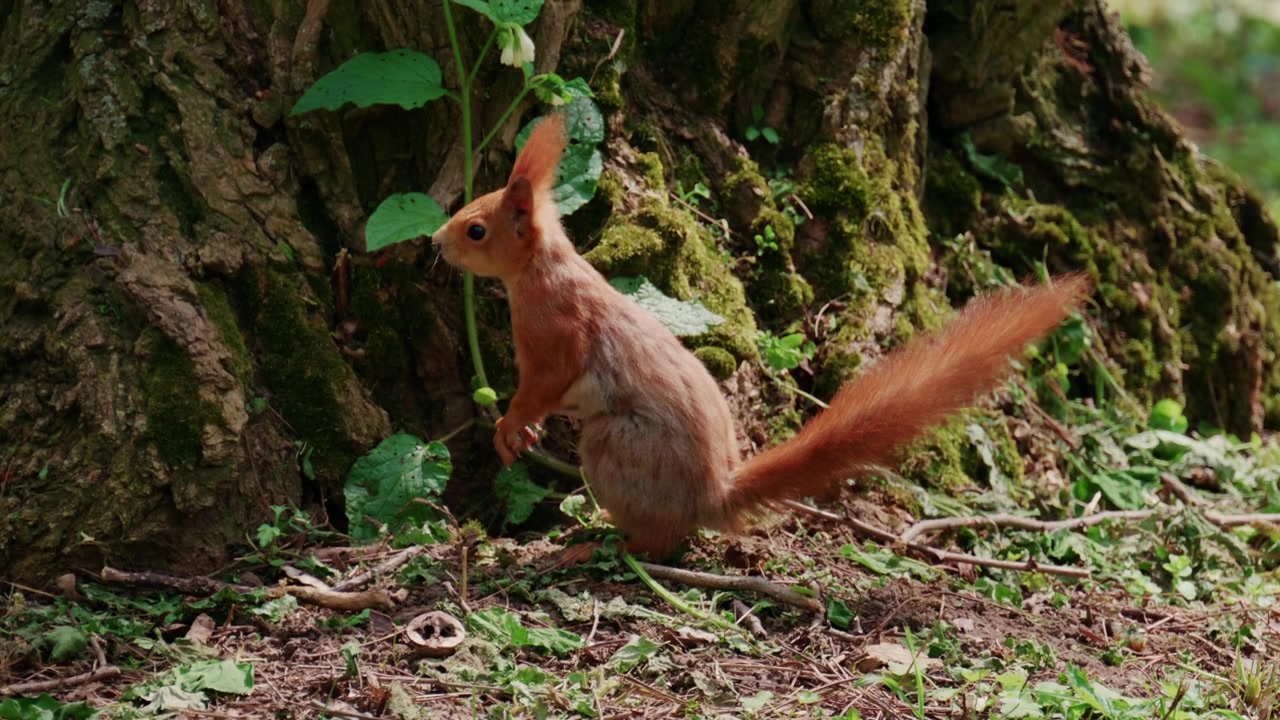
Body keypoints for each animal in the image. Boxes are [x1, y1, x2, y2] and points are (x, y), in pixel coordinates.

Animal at [431, 114, 1091, 558]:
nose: (436, 242)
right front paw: (519, 432)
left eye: (477, 228)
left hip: (615, 444)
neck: (542, 270)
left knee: (660, 540)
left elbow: (544, 384)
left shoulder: (555, 332)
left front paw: (510, 427)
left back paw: (598, 544)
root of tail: (712, 495)